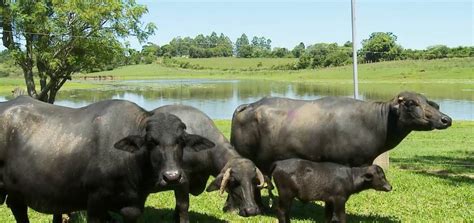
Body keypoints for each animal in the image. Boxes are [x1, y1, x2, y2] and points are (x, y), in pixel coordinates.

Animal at [0, 97, 213, 223]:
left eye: (181, 141)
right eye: (151, 141)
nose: (172, 177)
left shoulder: (132, 207)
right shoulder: (95, 202)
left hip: (16, 190)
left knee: (18, 208)